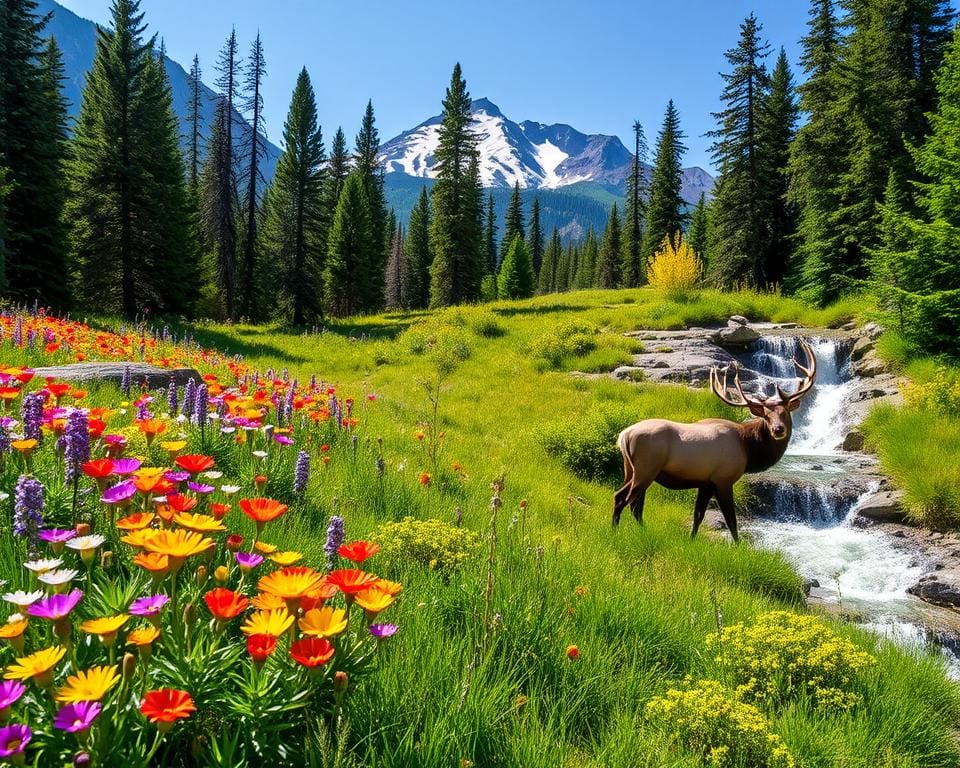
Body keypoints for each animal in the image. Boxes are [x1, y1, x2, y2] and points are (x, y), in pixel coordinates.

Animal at [616, 340, 816, 544]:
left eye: (785, 412)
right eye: (766, 416)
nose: (778, 429)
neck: (748, 449)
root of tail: (624, 435)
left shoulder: (706, 483)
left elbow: (698, 516)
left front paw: (691, 540)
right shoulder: (723, 479)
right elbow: (731, 520)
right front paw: (738, 546)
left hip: (630, 469)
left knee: (630, 502)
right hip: (646, 468)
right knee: (624, 499)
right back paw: (618, 531)